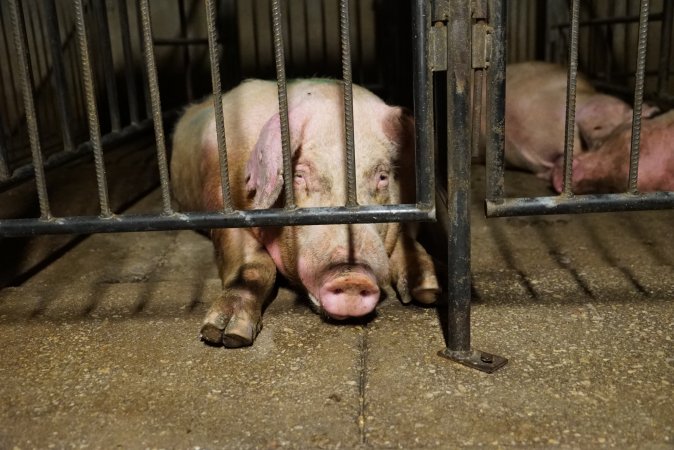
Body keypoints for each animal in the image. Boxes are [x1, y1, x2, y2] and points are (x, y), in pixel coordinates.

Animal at [171, 79, 438, 348]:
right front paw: (226, 334)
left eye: (382, 177)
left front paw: (427, 290)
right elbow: (253, 265)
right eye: (299, 175)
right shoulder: (222, 203)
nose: (352, 277)